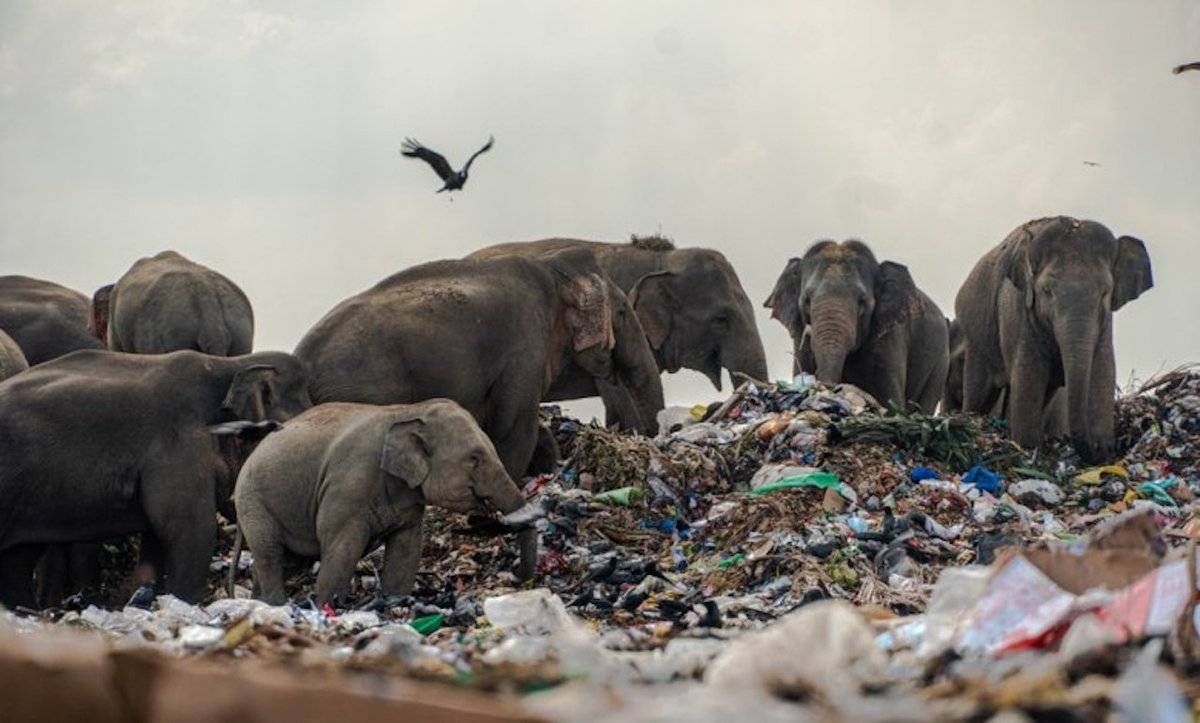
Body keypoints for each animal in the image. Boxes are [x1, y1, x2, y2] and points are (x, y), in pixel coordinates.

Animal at [0, 349, 311, 607]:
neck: (231, 364)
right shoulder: (179, 443)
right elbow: (190, 529)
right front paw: (181, 604)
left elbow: (157, 539)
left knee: (19, 560)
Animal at [234, 400, 540, 606]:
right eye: (475, 458)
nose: (518, 576)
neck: (409, 411)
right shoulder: (347, 487)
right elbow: (342, 550)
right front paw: (328, 607)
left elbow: (406, 549)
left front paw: (395, 602)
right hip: (254, 504)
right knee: (270, 554)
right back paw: (275, 606)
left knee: (289, 559)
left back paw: (257, 603)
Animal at [295, 248, 621, 581]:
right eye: (621, 311)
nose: (521, 576)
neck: (549, 270)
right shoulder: (525, 348)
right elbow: (513, 428)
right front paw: (486, 523)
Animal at [764, 240, 949, 413]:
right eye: (807, 300)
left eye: (862, 302)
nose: (828, 387)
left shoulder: (890, 338)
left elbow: (890, 402)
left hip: (940, 363)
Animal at [954, 216, 1153, 462]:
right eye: (1047, 291)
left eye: (1105, 292)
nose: (1100, 449)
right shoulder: (1019, 316)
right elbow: (1028, 376)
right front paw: (1027, 449)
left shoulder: (1105, 324)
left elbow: (1103, 371)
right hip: (977, 337)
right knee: (979, 393)